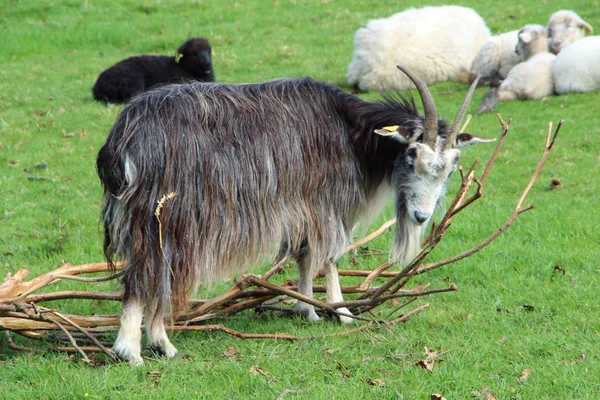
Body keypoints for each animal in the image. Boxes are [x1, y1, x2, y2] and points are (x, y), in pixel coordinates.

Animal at [97, 66, 492, 366]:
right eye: (411, 155)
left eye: (451, 168)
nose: (422, 216)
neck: (349, 130)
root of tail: (124, 138)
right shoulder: (325, 203)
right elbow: (329, 257)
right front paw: (341, 313)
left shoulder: (299, 207)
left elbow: (303, 256)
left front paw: (307, 309)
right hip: (169, 215)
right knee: (148, 273)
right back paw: (137, 350)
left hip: (146, 218)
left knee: (155, 273)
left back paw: (156, 344)